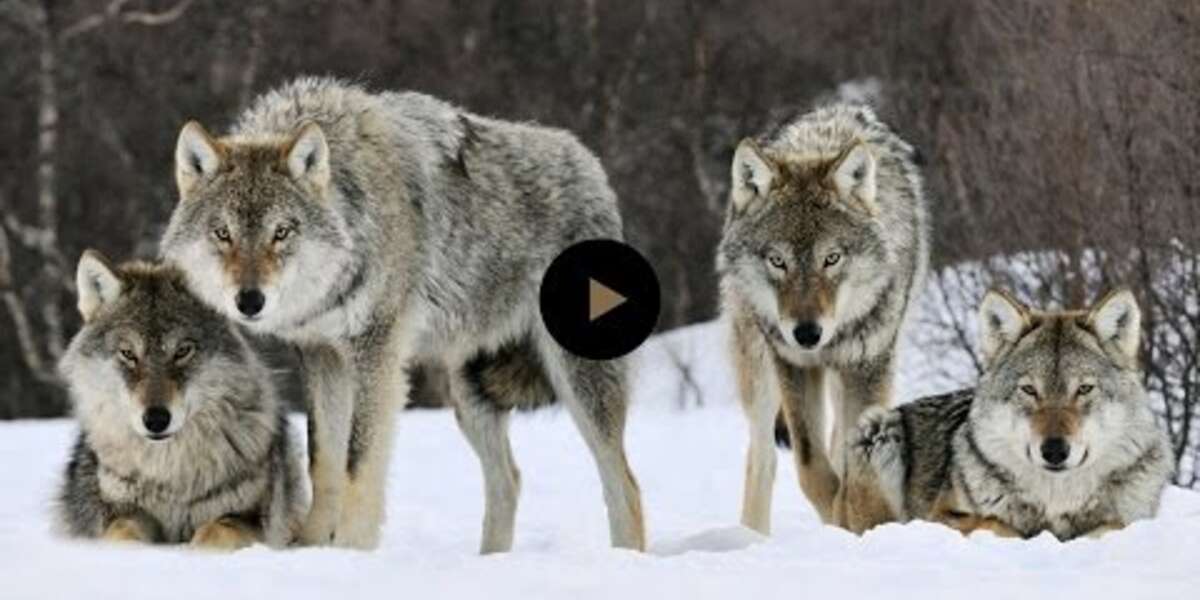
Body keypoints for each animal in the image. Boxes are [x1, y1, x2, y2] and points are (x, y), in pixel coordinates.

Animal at [56, 251, 306, 550]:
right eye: (128, 354)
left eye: (183, 351)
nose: (156, 419)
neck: (169, 475)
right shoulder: (122, 512)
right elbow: (122, 533)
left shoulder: (251, 519)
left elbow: (215, 533)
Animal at [159, 77, 645, 552]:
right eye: (223, 233)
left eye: (282, 232)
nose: (249, 301)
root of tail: (592, 166)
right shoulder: (321, 356)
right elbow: (324, 460)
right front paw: (311, 547)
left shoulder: (377, 353)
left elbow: (358, 462)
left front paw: (351, 550)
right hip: (469, 394)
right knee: (509, 479)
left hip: (578, 385)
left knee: (624, 484)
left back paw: (624, 557)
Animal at [717, 103, 929, 533]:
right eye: (777, 260)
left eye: (831, 258)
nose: (807, 333)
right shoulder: (793, 365)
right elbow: (811, 466)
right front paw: (837, 514)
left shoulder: (868, 366)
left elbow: (850, 462)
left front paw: (851, 518)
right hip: (759, 371)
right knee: (762, 458)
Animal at [840, 289, 1173, 540]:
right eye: (1029, 390)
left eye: (1084, 389)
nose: (1054, 450)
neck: (1056, 500)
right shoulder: (940, 515)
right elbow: (995, 523)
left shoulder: (1130, 519)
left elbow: (1111, 525)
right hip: (877, 429)